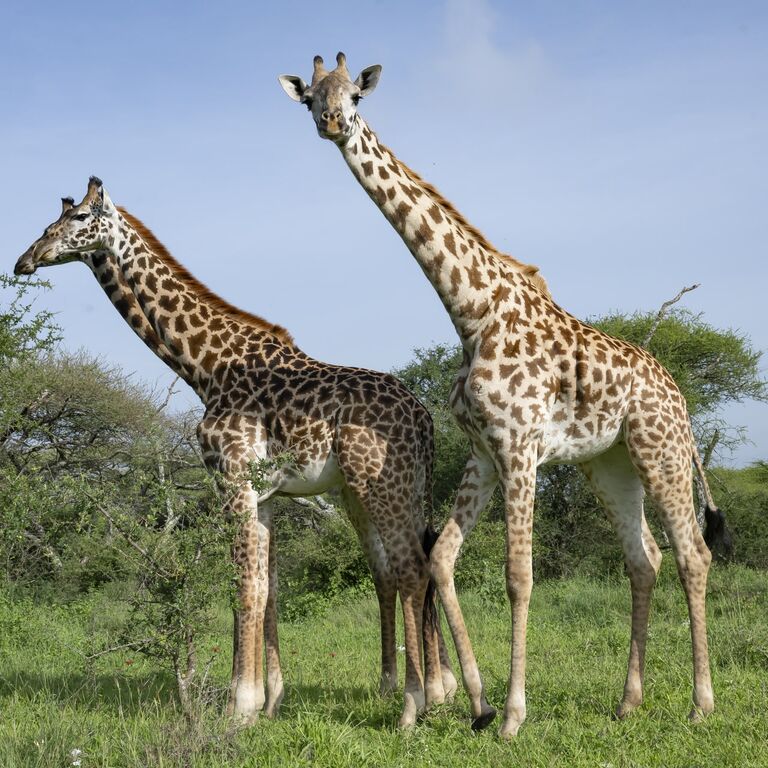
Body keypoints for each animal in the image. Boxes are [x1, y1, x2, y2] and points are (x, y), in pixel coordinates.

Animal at [14, 177, 459, 728]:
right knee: (407, 566)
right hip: (399, 490)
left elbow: (242, 587)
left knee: (409, 569)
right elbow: (267, 589)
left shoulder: (232, 479)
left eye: (77, 218)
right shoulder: (263, 494)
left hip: (377, 485)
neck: (204, 367)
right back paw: (438, 690)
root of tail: (425, 420)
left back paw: (413, 705)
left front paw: (238, 707)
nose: (26, 259)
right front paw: (269, 701)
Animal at [279, 52, 731, 737]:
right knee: (644, 558)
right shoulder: (483, 452)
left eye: (355, 95)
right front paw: (476, 702)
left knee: (693, 554)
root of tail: (678, 392)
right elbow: (442, 559)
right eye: (311, 98)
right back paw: (628, 702)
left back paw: (701, 703)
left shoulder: (520, 447)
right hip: (610, 463)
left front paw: (514, 714)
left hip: (662, 449)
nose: (331, 123)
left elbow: (519, 575)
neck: (471, 312)